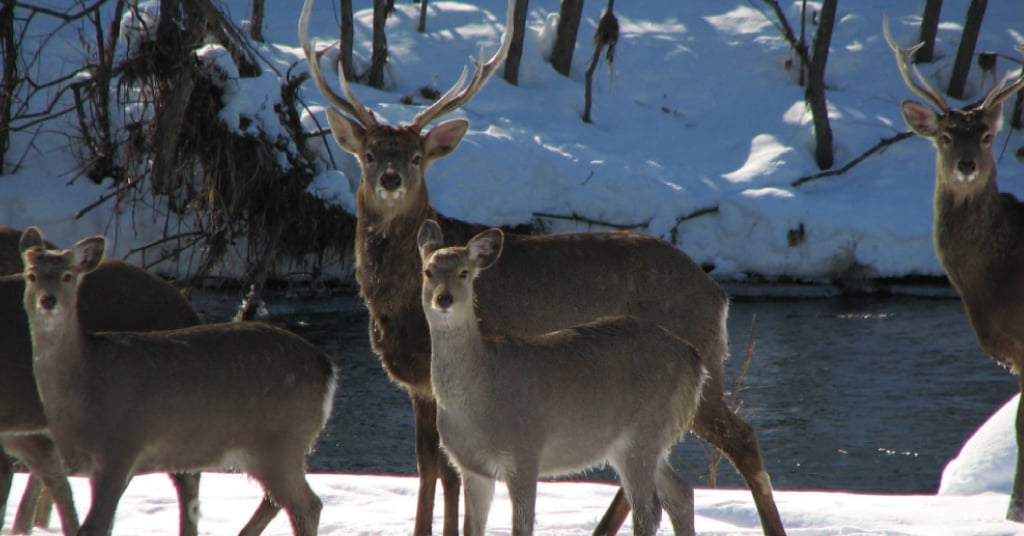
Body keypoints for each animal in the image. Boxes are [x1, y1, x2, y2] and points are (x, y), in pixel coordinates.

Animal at [19, 226, 337, 536]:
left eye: (68, 275)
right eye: (31, 274)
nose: (48, 300)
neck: (84, 385)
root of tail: (327, 368)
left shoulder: (120, 448)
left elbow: (94, 527)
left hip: (281, 440)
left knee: (307, 506)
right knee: (277, 501)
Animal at [415, 219, 704, 536]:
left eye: (464, 272)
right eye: (428, 271)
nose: (444, 298)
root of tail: (694, 361)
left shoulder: (525, 451)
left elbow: (522, 525)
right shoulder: (471, 466)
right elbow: (472, 528)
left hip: (643, 430)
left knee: (649, 509)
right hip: (643, 440)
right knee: (681, 492)